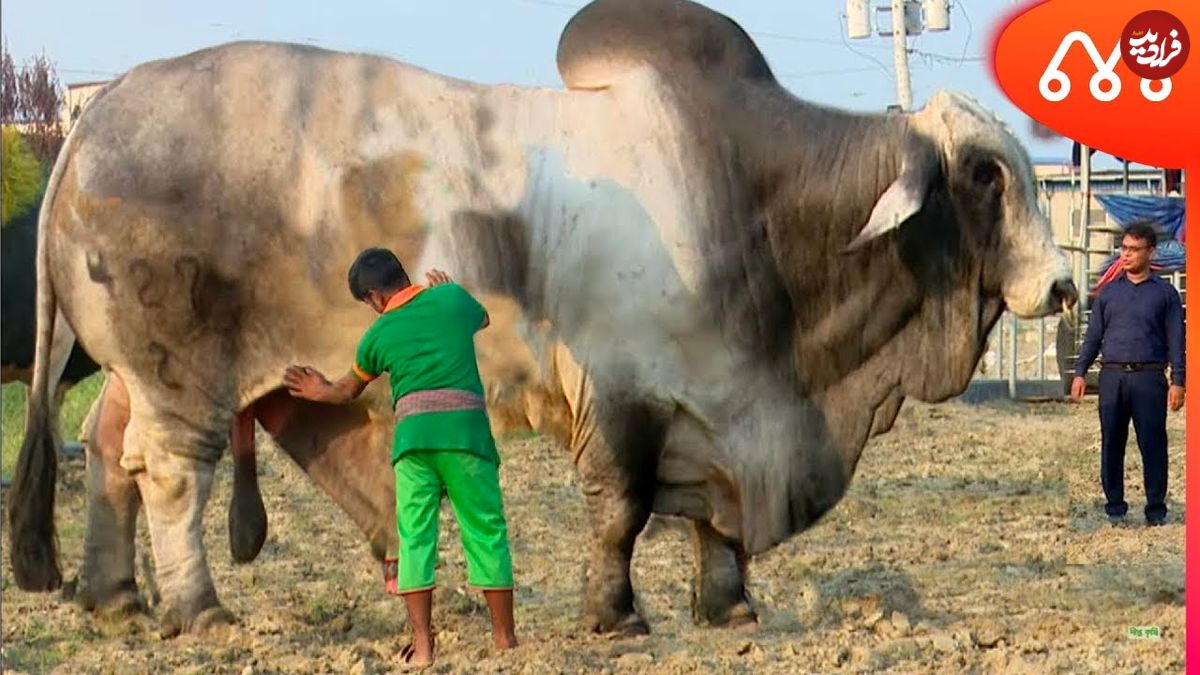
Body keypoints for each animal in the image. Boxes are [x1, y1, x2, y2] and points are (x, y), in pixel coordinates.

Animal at [9, 0, 1080, 634]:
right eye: (986, 175)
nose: (1065, 289)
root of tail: (96, 117)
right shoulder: (621, 389)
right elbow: (622, 509)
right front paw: (616, 615)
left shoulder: (724, 400)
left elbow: (714, 519)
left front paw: (727, 607)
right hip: (180, 373)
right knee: (166, 475)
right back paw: (195, 608)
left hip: (138, 373)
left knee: (106, 454)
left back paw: (114, 597)